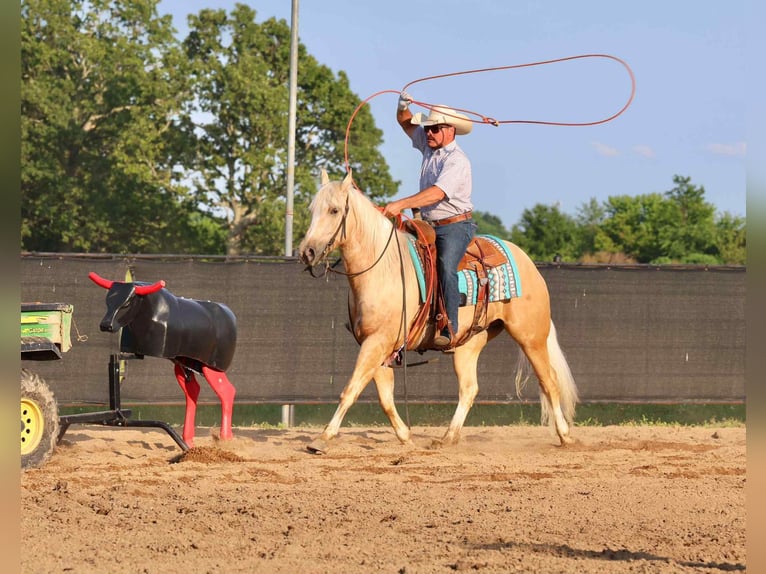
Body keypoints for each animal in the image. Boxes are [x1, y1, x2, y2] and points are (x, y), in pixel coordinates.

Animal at [298, 169, 577, 454]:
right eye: (311, 209)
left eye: (334, 210)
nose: (306, 251)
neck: (383, 268)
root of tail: (526, 260)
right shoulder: (376, 345)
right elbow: (385, 398)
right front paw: (405, 437)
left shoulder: (377, 342)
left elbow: (351, 389)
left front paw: (323, 438)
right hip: (470, 342)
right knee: (469, 388)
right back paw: (447, 437)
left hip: (531, 336)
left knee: (549, 382)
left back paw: (565, 436)